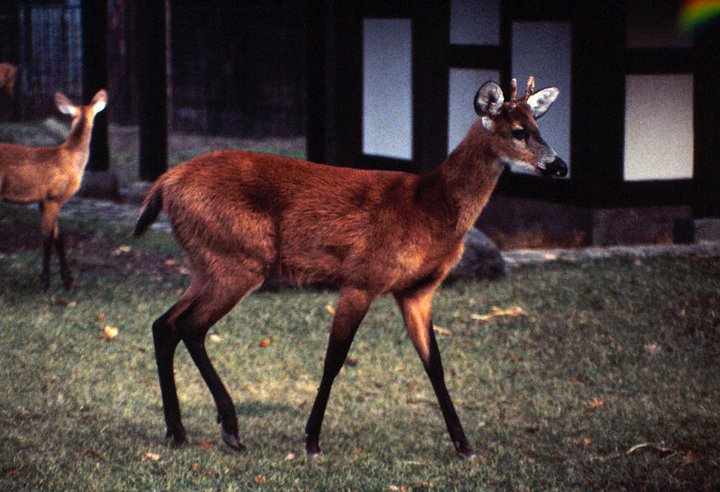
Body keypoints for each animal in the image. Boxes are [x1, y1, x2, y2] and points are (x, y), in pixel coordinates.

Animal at [0, 89, 107, 290]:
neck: (70, 157)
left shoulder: (47, 200)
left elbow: (59, 238)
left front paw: (68, 281)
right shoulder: (53, 196)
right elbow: (47, 239)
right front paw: (45, 281)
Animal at [134, 77, 567, 459]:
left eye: (538, 126)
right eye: (517, 132)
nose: (559, 165)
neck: (428, 208)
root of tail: (165, 182)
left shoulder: (417, 290)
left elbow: (436, 365)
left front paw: (464, 445)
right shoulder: (362, 277)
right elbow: (335, 358)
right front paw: (311, 441)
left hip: (207, 262)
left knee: (164, 323)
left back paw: (178, 431)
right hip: (239, 259)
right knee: (190, 326)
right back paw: (230, 429)